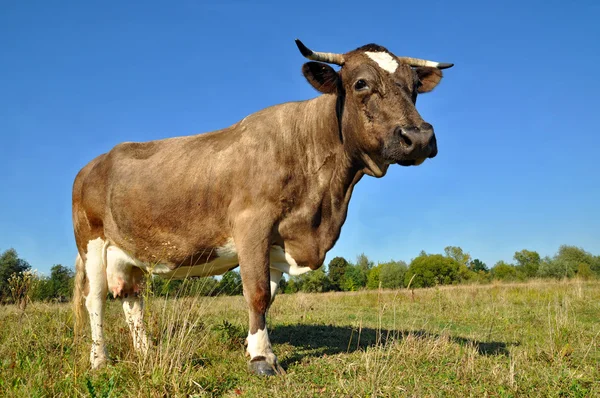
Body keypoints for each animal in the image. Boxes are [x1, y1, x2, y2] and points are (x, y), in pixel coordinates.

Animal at [72, 38, 452, 374]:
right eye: (361, 83)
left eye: (415, 86)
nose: (419, 137)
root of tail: (93, 164)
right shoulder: (251, 225)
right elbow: (255, 293)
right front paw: (261, 359)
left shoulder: (278, 241)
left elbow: (268, 297)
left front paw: (254, 346)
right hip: (91, 242)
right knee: (95, 300)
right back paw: (99, 360)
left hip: (129, 253)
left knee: (131, 299)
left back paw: (146, 354)